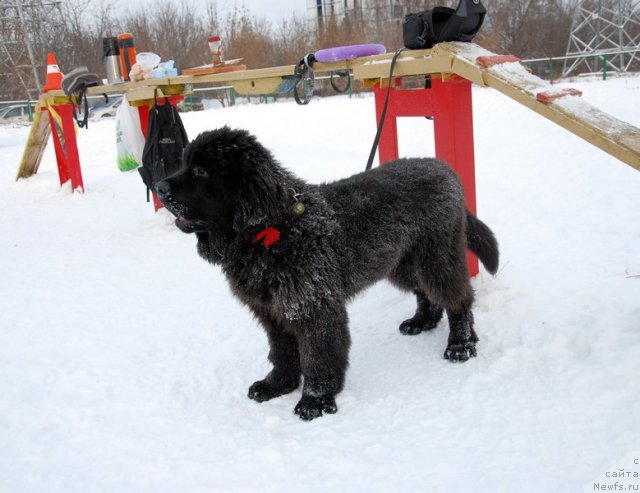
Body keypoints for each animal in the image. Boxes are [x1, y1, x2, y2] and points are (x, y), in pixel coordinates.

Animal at [156, 126, 500, 418]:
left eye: (202, 171)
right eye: (184, 164)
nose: (158, 186)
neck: (271, 230)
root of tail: (444, 168)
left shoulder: (313, 306)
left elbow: (318, 356)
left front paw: (315, 400)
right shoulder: (272, 310)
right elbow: (282, 351)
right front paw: (277, 385)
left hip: (436, 257)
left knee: (458, 297)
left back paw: (461, 344)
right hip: (401, 261)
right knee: (426, 292)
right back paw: (422, 322)